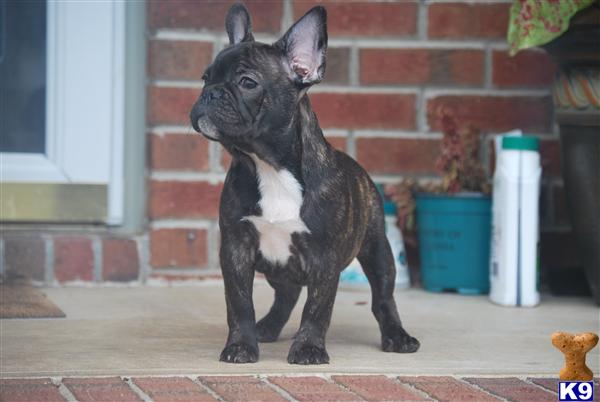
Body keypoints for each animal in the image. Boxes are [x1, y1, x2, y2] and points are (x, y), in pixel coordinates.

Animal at [189, 2, 418, 364]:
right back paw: (267, 327)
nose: (209, 94)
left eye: (247, 82)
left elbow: (317, 308)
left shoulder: (324, 259)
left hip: (378, 251)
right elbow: (239, 303)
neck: (269, 166)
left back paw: (397, 336)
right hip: (276, 267)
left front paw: (309, 348)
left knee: (383, 298)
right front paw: (241, 345)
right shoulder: (236, 249)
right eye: (205, 78)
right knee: (287, 294)